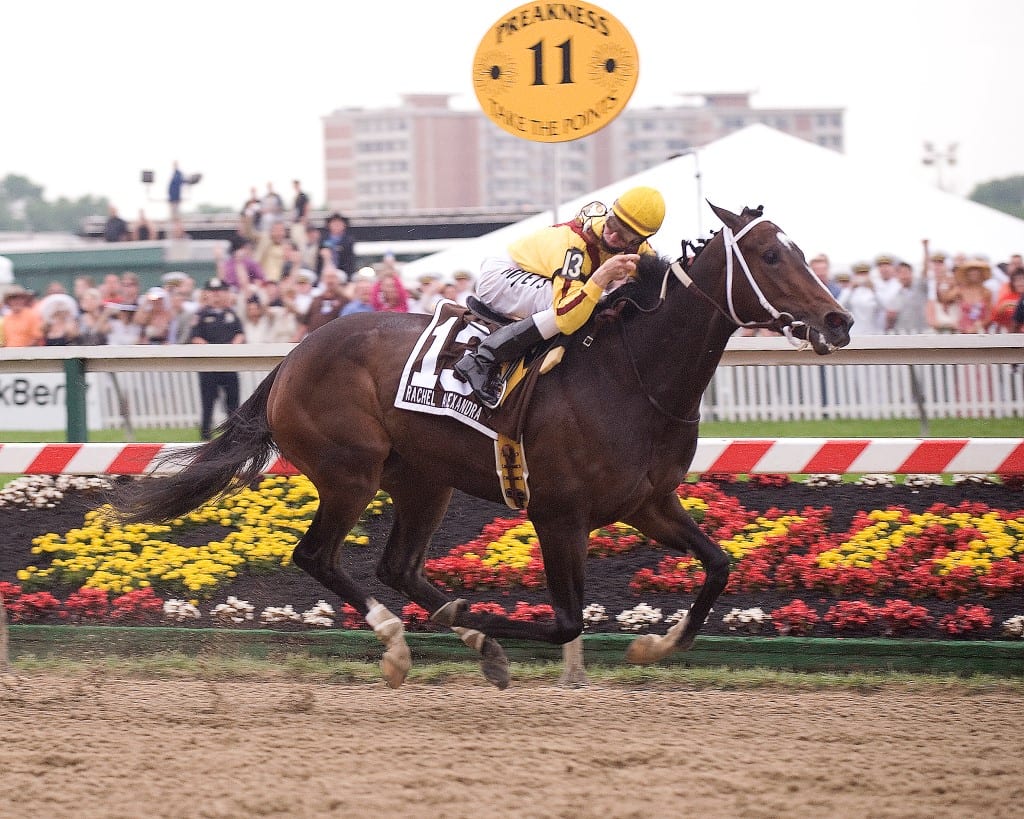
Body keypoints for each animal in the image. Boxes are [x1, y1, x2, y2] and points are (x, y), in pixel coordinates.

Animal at [116, 202, 856, 683]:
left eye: (797, 251)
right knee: (317, 555)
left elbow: (720, 565)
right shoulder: (558, 514)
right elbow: (566, 620)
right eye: (770, 255)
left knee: (397, 566)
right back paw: (401, 641)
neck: (633, 374)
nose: (839, 319)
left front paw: (655, 646)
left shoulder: (649, 502)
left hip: (424, 479)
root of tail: (295, 354)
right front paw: (491, 626)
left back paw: (460, 628)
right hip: (351, 473)